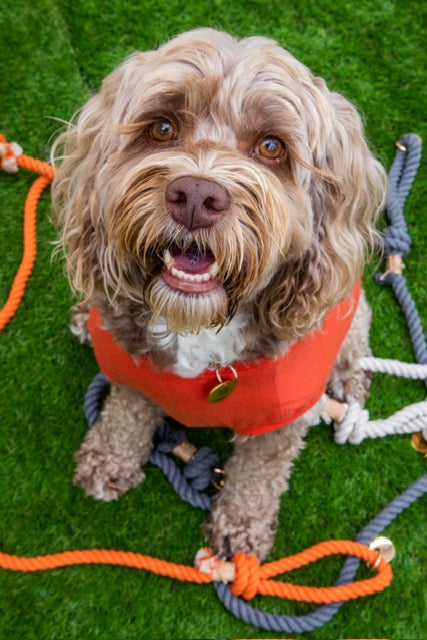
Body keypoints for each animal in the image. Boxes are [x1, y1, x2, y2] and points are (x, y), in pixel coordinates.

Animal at [52, 28, 388, 560]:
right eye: (162, 127)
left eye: (271, 146)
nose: (195, 196)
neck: (199, 326)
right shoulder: (131, 370)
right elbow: (126, 411)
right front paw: (109, 458)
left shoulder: (281, 421)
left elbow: (259, 473)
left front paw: (241, 527)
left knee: (356, 332)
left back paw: (350, 376)